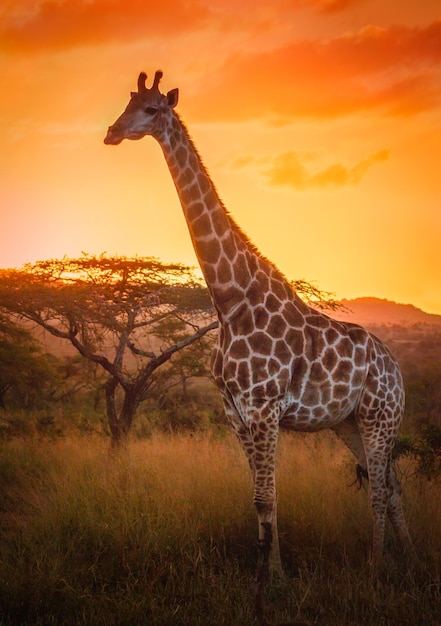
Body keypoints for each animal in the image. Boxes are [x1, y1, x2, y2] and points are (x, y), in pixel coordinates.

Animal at [104, 69, 412, 616]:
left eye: (153, 110)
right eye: (127, 103)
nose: (112, 132)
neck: (230, 299)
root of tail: (397, 370)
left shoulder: (265, 406)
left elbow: (268, 498)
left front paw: (266, 591)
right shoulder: (235, 410)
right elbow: (260, 499)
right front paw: (276, 579)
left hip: (381, 417)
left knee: (379, 489)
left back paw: (377, 573)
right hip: (350, 422)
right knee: (393, 489)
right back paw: (416, 566)